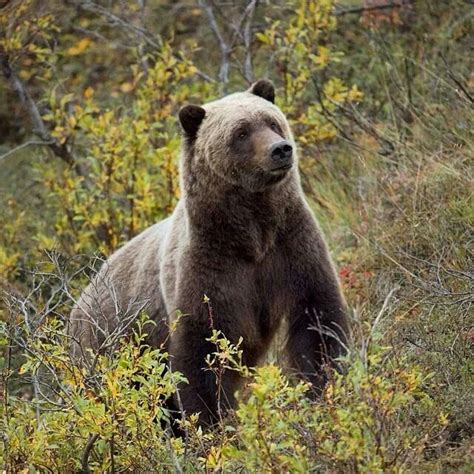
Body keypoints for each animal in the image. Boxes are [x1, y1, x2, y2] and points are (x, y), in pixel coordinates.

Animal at [71, 80, 352, 426]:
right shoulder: (209, 267)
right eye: (241, 132)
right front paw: (213, 422)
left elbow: (317, 322)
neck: (252, 232)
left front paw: (322, 391)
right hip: (107, 349)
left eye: (272, 121)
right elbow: (201, 352)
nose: (281, 149)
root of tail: (77, 304)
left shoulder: (291, 248)